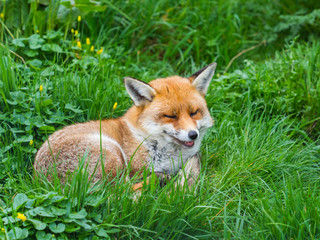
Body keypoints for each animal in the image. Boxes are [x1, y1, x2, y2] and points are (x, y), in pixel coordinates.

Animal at [33, 62, 216, 187]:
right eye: (170, 116)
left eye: (194, 112)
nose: (193, 134)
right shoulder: (136, 168)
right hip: (111, 151)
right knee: (121, 193)